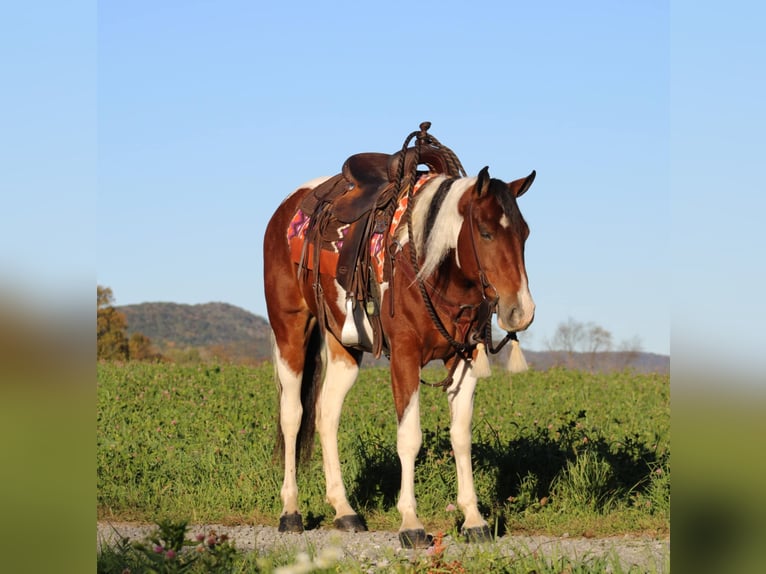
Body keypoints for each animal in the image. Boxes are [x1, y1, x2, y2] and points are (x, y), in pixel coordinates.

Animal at [260, 129, 536, 548]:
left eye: (525, 234)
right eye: (486, 232)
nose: (521, 311)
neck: (429, 267)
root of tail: (286, 209)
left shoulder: (463, 359)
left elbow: (461, 436)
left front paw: (474, 519)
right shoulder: (404, 356)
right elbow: (409, 437)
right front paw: (410, 523)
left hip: (343, 346)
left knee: (326, 414)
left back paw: (344, 510)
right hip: (290, 328)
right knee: (292, 415)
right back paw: (290, 511)